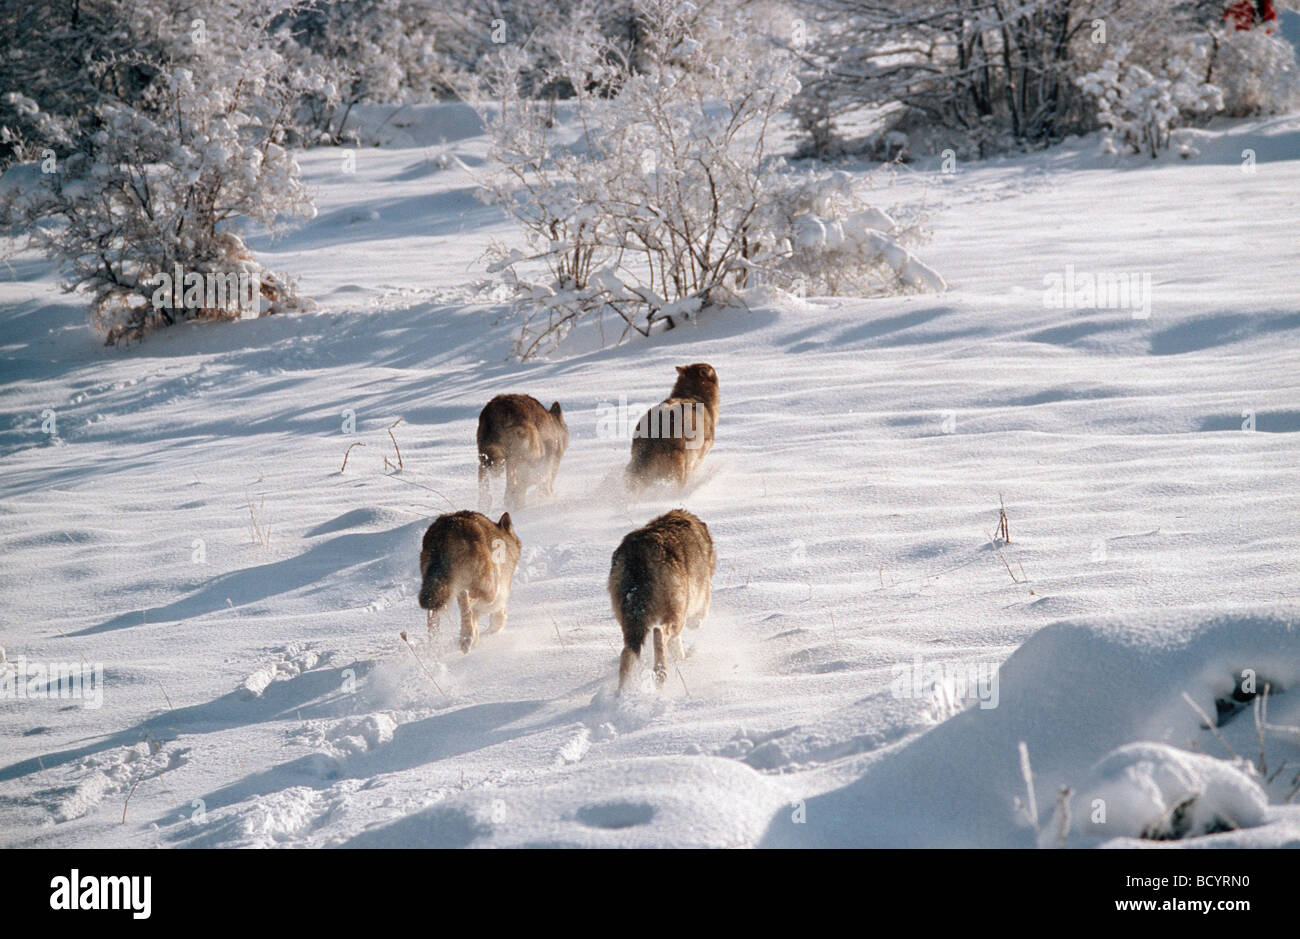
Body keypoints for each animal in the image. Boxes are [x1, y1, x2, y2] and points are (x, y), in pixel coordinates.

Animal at [416, 512, 517, 650]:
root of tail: (446, 531)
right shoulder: (498, 592)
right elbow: (497, 617)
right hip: (488, 591)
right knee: (465, 599)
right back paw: (466, 640)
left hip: (436, 592)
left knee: (433, 617)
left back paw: (435, 649)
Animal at [605, 507, 717, 691]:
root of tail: (638, 557)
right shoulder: (701, 599)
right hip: (676, 613)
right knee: (660, 633)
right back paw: (660, 675)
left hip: (629, 622)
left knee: (628, 651)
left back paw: (623, 691)